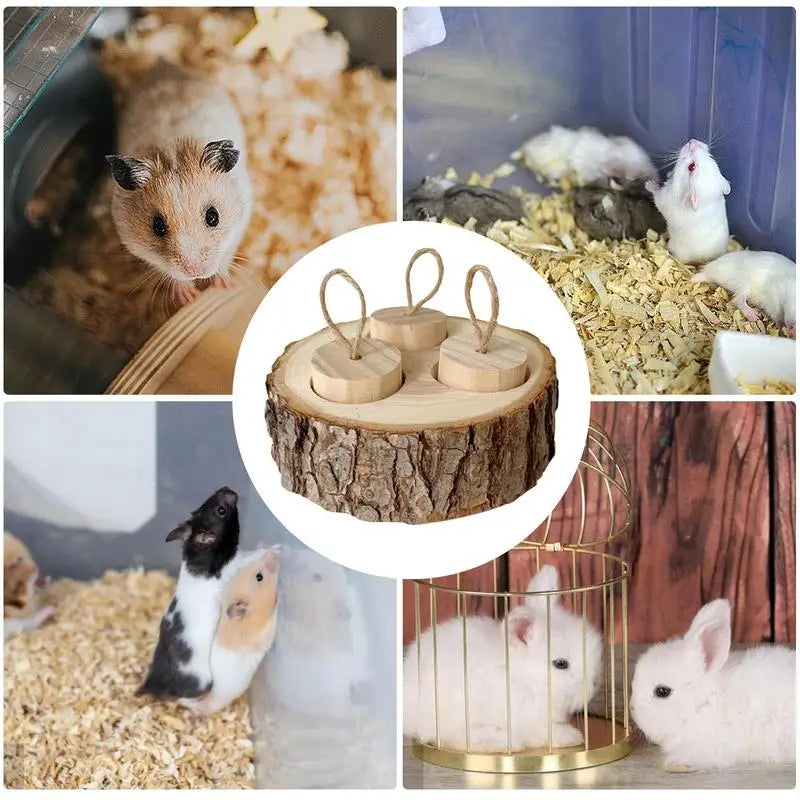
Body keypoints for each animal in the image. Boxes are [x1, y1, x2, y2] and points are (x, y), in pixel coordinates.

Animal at [106, 61, 252, 307]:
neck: (171, 153)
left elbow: (225, 256)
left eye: (213, 217)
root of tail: (164, 65)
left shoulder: (240, 223)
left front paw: (223, 286)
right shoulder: (135, 244)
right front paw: (189, 298)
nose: (195, 272)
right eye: (157, 226)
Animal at [403, 565, 603, 752]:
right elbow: (545, 733)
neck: (524, 678)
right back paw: (506, 742)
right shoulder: (528, 720)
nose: (594, 685)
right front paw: (574, 737)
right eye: (561, 664)